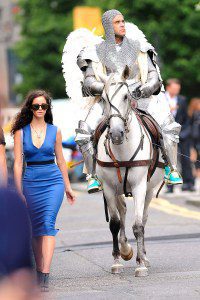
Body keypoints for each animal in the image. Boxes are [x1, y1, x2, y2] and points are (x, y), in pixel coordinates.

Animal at [96, 72, 164, 276]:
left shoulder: (139, 186)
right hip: (118, 190)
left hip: (149, 190)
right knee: (122, 211)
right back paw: (125, 249)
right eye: (103, 98)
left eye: (126, 96)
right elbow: (114, 223)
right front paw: (117, 261)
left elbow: (138, 225)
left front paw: (140, 264)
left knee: (144, 217)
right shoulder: (109, 189)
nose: (116, 133)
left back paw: (143, 256)